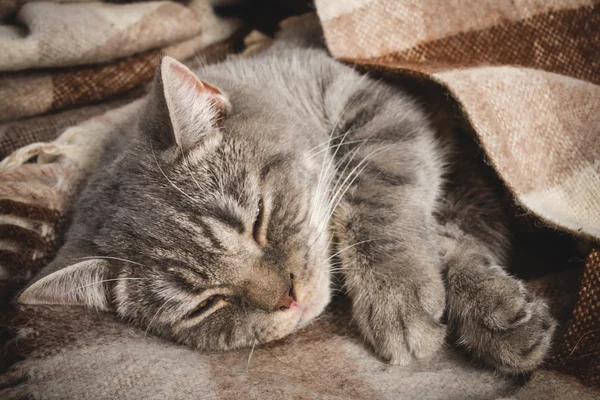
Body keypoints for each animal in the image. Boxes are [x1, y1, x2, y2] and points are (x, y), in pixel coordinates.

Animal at [17, 18, 552, 376]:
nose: (288, 298)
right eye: (205, 305)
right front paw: (489, 310)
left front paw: (403, 292)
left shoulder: (378, 109)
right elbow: (446, 230)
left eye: (258, 219)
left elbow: (384, 204)